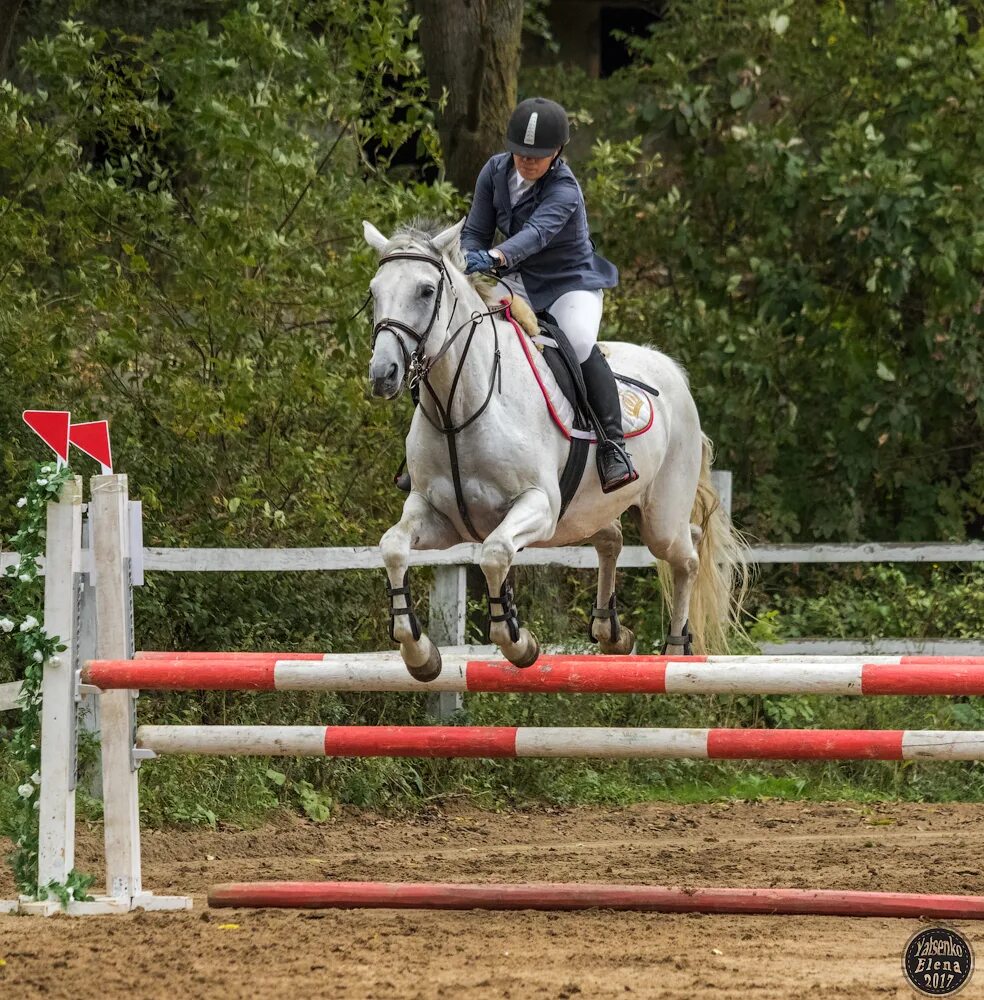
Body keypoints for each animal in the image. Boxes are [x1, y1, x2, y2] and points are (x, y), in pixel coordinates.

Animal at [366, 214, 748, 676]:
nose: (383, 374)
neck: (459, 408)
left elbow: (494, 553)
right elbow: (393, 548)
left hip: (659, 518)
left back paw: (676, 648)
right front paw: (419, 652)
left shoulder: (539, 507)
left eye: (425, 291)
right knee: (611, 539)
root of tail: (670, 368)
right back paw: (611, 631)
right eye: (374, 292)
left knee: (686, 554)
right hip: (585, 512)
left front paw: (518, 641)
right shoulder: (437, 515)